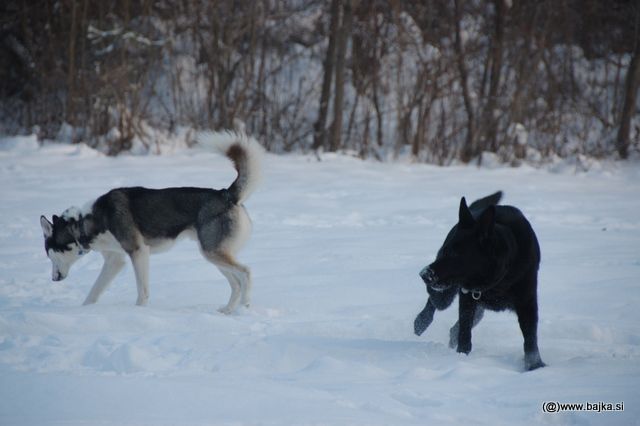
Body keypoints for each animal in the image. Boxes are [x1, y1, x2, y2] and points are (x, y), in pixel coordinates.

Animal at [39, 132, 262, 312]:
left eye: (50, 255)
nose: (53, 279)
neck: (83, 223)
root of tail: (226, 194)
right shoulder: (115, 261)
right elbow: (94, 292)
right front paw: (83, 312)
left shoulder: (138, 252)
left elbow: (142, 291)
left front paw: (139, 312)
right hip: (213, 253)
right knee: (235, 283)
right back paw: (228, 310)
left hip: (213, 252)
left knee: (246, 273)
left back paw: (245, 305)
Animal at [416, 191, 544, 372]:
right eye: (445, 251)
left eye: (455, 254)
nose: (423, 274)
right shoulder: (467, 300)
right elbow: (465, 333)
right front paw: (462, 357)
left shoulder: (527, 302)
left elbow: (530, 338)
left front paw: (535, 366)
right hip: (445, 296)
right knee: (433, 303)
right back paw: (420, 322)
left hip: (479, 309)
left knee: (453, 329)